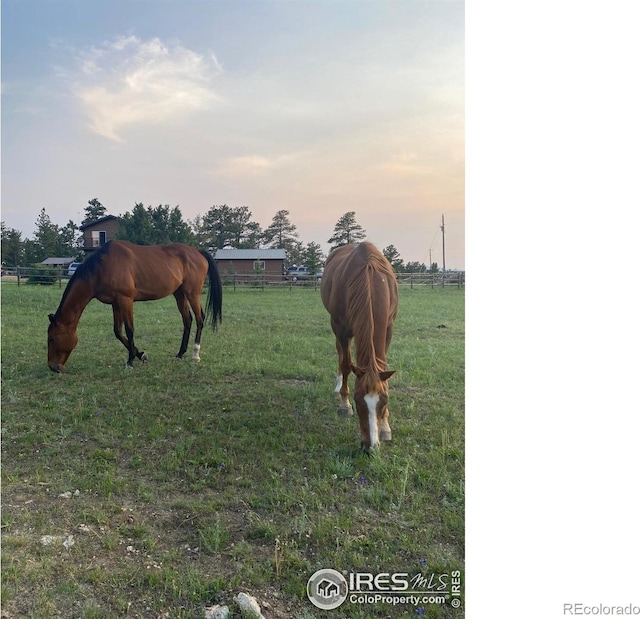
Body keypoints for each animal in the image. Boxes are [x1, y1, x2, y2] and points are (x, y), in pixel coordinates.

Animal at [47, 240, 222, 370]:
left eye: (52, 339)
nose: (53, 367)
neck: (102, 268)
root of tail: (198, 252)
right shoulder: (115, 303)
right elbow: (118, 332)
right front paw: (140, 354)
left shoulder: (125, 300)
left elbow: (129, 330)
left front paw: (130, 361)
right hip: (179, 294)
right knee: (187, 320)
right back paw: (179, 354)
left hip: (192, 294)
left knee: (200, 319)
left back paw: (195, 354)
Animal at [322, 241, 398, 450]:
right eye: (357, 400)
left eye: (385, 400)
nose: (370, 447)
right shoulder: (341, 328)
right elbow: (346, 365)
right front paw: (344, 405)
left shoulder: (388, 327)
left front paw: (385, 427)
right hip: (337, 327)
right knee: (341, 355)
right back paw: (338, 386)